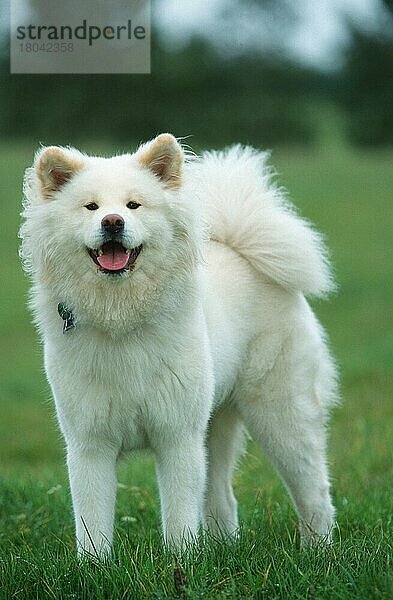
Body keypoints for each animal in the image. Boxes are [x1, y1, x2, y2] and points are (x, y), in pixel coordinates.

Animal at [19, 135, 336, 556]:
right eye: (91, 207)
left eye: (133, 205)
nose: (112, 222)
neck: (121, 318)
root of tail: (238, 250)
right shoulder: (90, 443)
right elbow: (92, 522)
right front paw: (95, 566)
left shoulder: (177, 437)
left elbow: (180, 517)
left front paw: (181, 562)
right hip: (216, 426)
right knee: (223, 497)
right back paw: (224, 547)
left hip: (281, 416)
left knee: (314, 492)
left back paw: (320, 552)